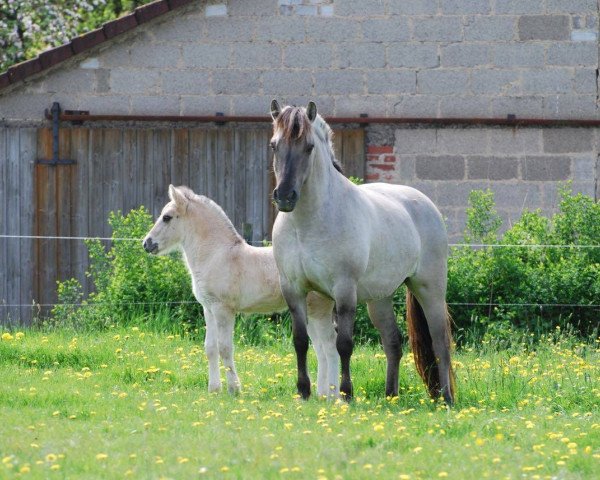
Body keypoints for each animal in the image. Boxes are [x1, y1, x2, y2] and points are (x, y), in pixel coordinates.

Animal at [141, 186, 338, 396]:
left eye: (167, 217)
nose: (147, 243)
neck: (218, 255)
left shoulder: (223, 309)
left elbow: (225, 348)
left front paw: (234, 389)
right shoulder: (208, 309)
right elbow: (210, 348)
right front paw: (214, 389)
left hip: (320, 310)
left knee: (329, 346)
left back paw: (333, 395)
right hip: (309, 313)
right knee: (320, 350)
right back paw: (322, 394)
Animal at [270, 101, 452, 404]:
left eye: (309, 147)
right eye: (274, 145)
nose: (285, 196)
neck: (307, 223)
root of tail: (426, 204)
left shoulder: (344, 290)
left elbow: (344, 343)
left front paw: (346, 393)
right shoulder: (293, 289)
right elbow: (300, 341)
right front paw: (304, 392)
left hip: (429, 289)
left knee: (440, 343)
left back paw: (447, 399)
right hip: (379, 299)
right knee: (393, 343)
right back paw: (391, 396)